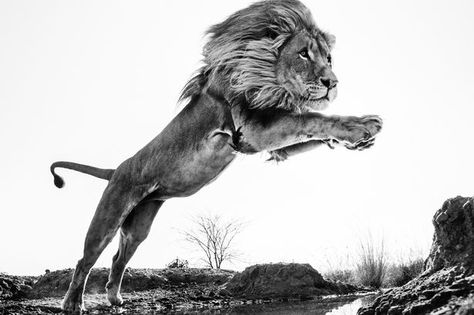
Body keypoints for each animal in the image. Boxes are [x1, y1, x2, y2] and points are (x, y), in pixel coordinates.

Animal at [51, 0, 384, 314]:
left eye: (329, 58)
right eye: (303, 54)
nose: (332, 83)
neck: (265, 75)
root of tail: (115, 169)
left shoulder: (273, 145)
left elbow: (310, 128)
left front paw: (356, 141)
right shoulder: (252, 133)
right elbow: (310, 119)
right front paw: (363, 125)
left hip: (139, 225)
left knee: (119, 257)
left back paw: (114, 297)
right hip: (110, 215)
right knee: (85, 259)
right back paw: (73, 303)